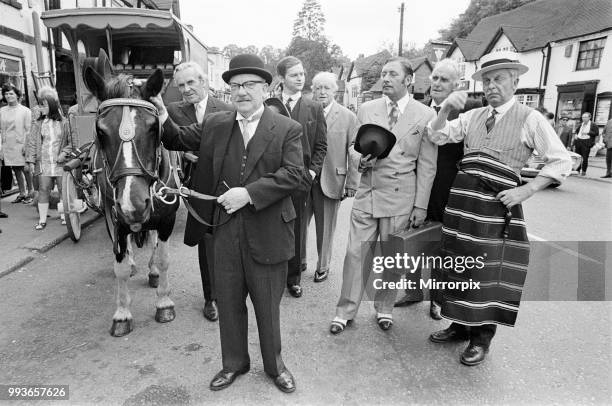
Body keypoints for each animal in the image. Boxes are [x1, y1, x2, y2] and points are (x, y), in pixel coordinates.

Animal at [82, 66, 180, 338]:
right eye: (100, 131)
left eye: (154, 127)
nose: (132, 205)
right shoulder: (115, 220)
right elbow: (121, 267)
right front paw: (122, 314)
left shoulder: (167, 219)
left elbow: (164, 258)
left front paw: (164, 302)